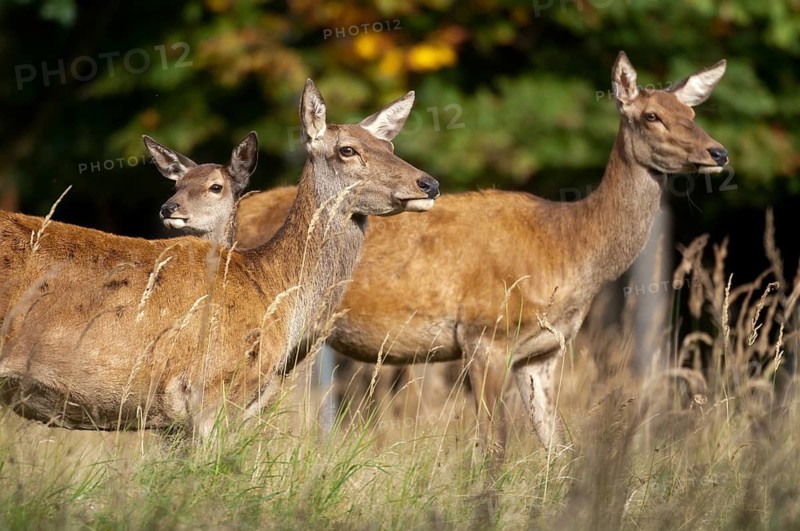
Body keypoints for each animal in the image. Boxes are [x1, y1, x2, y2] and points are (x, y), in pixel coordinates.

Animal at [209, 52, 729, 460]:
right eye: (652, 116)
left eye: (692, 110)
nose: (718, 152)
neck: (567, 250)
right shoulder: (485, 333)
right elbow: (493, 446)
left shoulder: (542, 353)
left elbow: (559, 447)